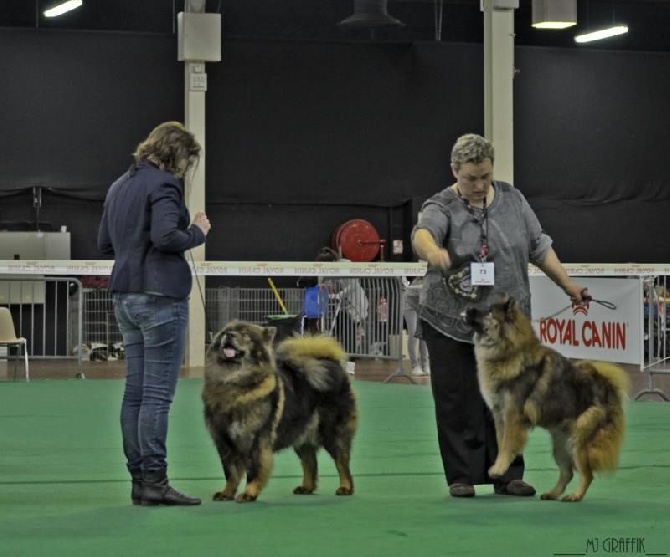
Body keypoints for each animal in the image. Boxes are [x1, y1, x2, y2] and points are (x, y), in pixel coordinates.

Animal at [202, 320, 360, 502]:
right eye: (225, 332)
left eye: (245, 335)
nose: (229, 335)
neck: (235, 384)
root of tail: (332, 365)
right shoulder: (224, 441)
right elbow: (230, 472)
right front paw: (227, 493)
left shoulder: (256, 440)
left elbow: (254, 470)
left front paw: (249, 493)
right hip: (302, 436)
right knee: (310, 462)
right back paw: (306, 487)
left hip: (332, 433)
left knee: (342, 462)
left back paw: (345, 487)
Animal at [468, 298, 632, 502]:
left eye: (489, 312)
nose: (468, 309)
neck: (509, 351)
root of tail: (606, 386)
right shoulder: (500, 415)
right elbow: (502, 444)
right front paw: (500, 466)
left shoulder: (513, 415)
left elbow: (507, 445)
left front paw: (498, 469)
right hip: (560, 443)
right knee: (567, 473)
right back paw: (552, 494)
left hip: (579, 438)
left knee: (586, 474)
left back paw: (575, 496)